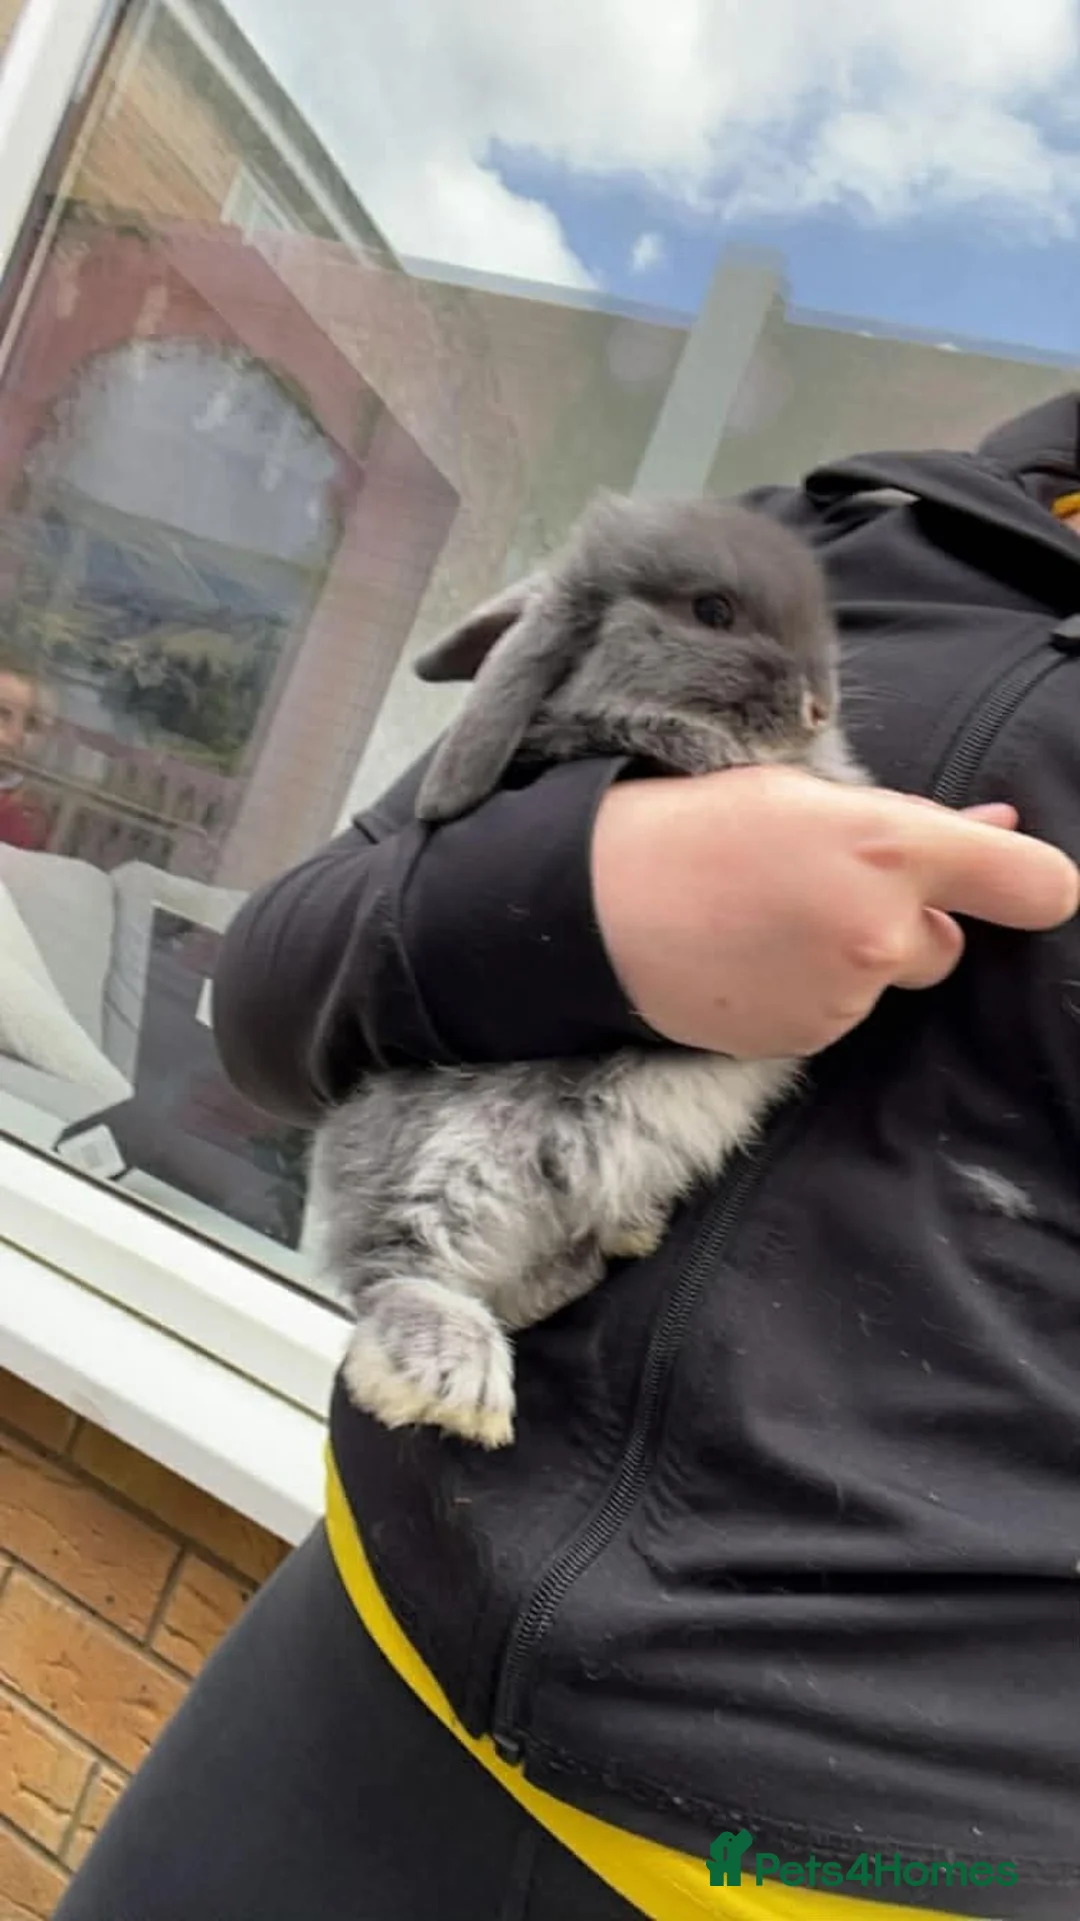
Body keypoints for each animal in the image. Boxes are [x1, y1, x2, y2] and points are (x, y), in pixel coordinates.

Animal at [313, 491, 867, 1449]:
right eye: (712, 611)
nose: (815, 708)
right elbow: (628, 726)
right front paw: (715, 752)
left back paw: (620, 1239)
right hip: (451, 1151)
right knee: (399, 1268)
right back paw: (450, 1379)